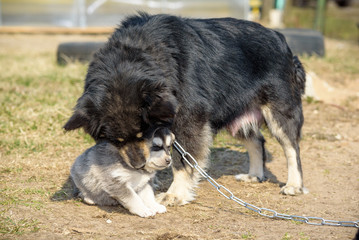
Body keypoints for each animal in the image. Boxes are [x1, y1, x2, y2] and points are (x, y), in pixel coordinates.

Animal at [65, 12, 310, 205]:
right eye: (116, 141)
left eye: (144, 134)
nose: (137, 165)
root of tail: (282, 41)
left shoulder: (189, 118)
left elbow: (183, 161)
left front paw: (175, 194)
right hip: (237, 113)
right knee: (257, 140)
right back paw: (255, 175)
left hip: (279, 109)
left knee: (292, 148)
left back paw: (294, 185)